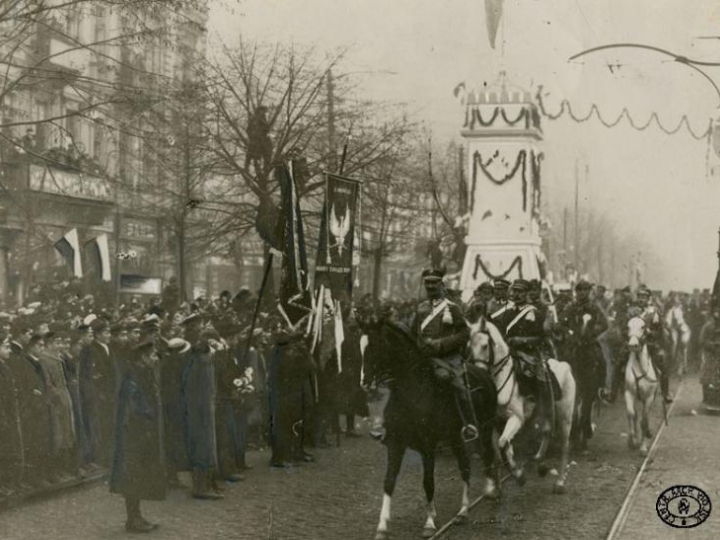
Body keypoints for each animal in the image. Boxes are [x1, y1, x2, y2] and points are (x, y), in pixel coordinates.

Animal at [368, 318, 498, 536]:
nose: (366, 382)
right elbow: (389, 481)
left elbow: (428, 482)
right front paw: (382, 526)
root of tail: (485, 374)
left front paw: (429, 523)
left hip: (485, 429)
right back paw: (463, 510)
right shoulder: (396, 445)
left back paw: (487, 493)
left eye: (374, 345)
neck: (411, 393)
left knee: (486, 455)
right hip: (456, 438)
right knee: (465, 466)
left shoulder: (428, 447)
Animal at [470, 318, 576, 496]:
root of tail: (564, 365)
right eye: (469, 346)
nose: (477, 373)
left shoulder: (516, 418)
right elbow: (498, 452)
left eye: (485, 345)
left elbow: (503, 443)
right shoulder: (493, 422)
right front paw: (496, 489)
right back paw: (540, 462)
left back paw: (560, 482)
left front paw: (519, 475)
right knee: (546, 431)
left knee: (564, 445)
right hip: (544, 409)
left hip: (565, 415)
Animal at [624, 316, 660, 456]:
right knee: (636, 416)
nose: (632, 345)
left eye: (643, 327)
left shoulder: (649, 397)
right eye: (628, 326)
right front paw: (632, 441)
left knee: (644, 418)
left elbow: (644, 421)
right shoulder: (629, 393)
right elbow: (631, 414)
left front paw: (643, 448)